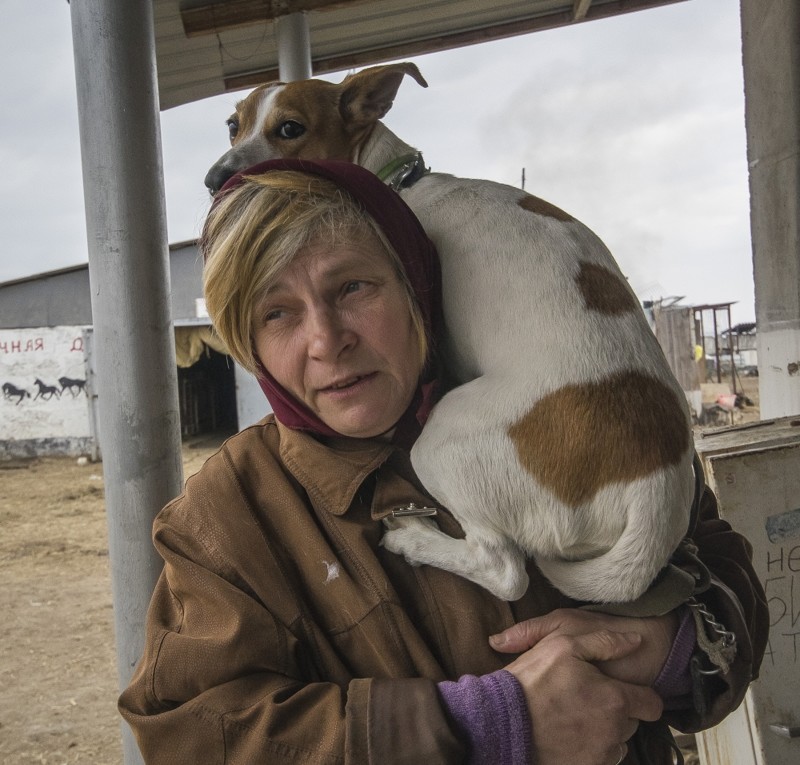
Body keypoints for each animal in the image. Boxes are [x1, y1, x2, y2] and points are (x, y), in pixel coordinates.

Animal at [205, 62, 692, 604]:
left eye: (291, 128)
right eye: (233, 125)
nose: (214, 179)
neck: (401, 182)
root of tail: (655, 488)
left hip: (442, 438)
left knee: (503, 568)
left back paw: (416, 540)